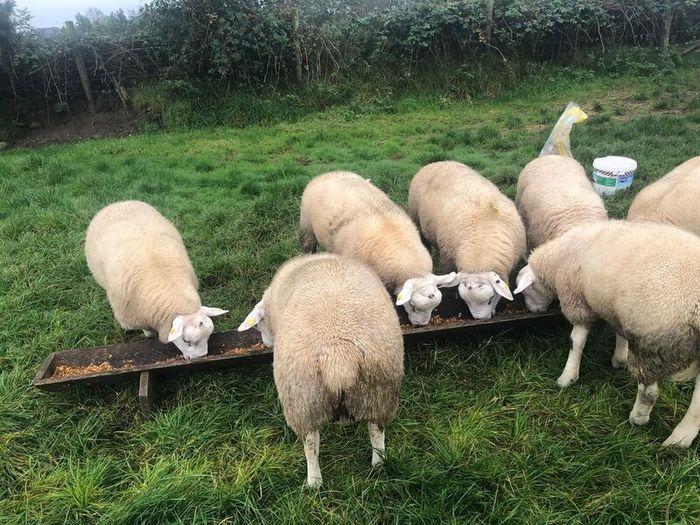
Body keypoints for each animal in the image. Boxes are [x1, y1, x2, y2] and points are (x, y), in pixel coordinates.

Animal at [85, 200, 227, 360]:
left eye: (208, 336)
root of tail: (120, 202)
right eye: (186, 340)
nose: (200, 357)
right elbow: (148, 332)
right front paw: (149, 334)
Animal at [238, 253, 404, 487]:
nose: (266, 343)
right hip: (380, 392)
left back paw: (314, 482)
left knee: (311, 444)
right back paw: (379, 465)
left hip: (302, 401)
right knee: (376, 431)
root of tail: (338, 357)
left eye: (258, 325)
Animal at [299, 171, 456, 326]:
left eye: (434, 308)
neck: (397, 243)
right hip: (307, 227)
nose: (420, 324)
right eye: (412, 306)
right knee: (308, 246)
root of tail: (328, 173)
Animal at [408, 161, 526, 319]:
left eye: (490, 300)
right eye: (466, 301)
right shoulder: (448, 259)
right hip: (416, 218)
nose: (479, 319)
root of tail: (437, 162)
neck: (481, 249)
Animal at [513, 220, 700, 447]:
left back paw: (638, 418)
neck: (557, 261)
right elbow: (620, 334)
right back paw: (681, 438)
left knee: (649, 391)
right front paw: (619, 358)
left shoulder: (578, 300)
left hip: (657, 342)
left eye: (525, 290)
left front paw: (568, 376)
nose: (532, 311)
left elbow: (576, 341)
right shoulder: (616, 309)